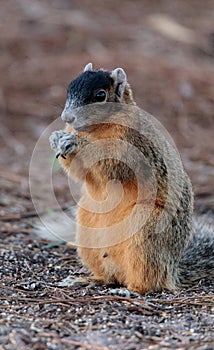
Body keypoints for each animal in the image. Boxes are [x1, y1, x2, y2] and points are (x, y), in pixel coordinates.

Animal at [47, 63, 213, 296]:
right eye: (69, 89)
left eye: (100, 95)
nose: (67, 118)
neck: (99, 129)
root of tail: (173, 270)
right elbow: (81, 171)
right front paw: (56, 138)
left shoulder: (133, 145)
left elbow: (112, 164)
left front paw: (75, 142)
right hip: (88, 235)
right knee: (110, 276)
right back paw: (86, 279)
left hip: (144, 235)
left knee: (149, 281)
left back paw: (129, 291)